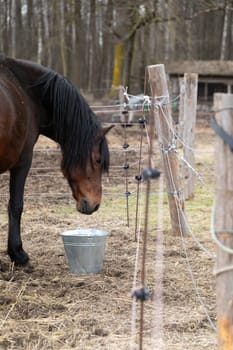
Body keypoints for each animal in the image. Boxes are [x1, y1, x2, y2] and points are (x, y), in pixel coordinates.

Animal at [0, 55, 113, 266]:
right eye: (97, 160)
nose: (95, 204)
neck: (27, 92)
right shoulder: (23, 160)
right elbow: (16, 205)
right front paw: (18, 254)